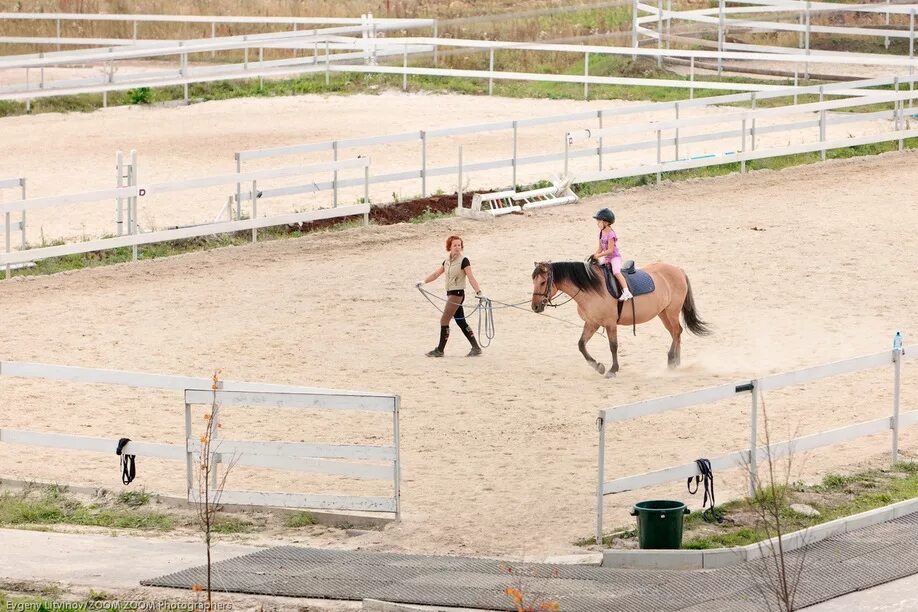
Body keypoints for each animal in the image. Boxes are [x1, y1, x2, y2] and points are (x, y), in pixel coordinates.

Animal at [532, 260, 712, 378]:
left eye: (542, 282)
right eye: (533, 281)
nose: (535, 307)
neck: (592, 289)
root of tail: (678, 270)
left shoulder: (610, 324)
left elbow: (613, 346)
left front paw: (613, 369)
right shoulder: (592, 323)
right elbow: (581, 345)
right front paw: (598, 366)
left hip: (672, 311)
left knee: (676, 332)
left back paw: (672, 361)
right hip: (663, 313)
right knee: (677, 332)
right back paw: (676, 362)